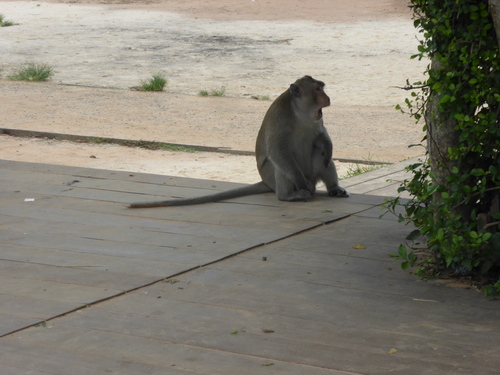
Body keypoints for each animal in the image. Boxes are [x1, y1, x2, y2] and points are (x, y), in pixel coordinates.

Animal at [129, 75, 348, 209]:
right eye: (318, 89)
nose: (328, 98)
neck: (300, 113)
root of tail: (267, 183)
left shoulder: (316, 120)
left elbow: (321, 137)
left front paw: (328, 147)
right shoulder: (281, 117)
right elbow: (278, 151)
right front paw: (301, 184)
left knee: (321, 155)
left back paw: (333, 188)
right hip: (272, 177)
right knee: (279, 165)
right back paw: (289, 195)